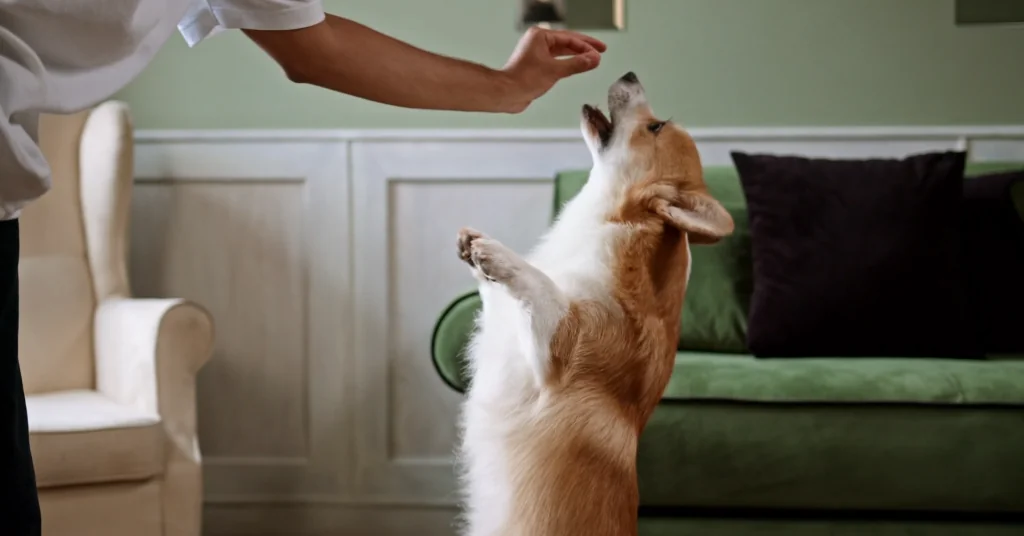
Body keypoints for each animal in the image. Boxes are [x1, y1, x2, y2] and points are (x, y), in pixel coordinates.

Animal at [456, 72, 737, 536]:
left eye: (656, 126)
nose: (630, 74)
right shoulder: (507, 324)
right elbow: (502, 290)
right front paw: (474, 251)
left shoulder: (555, 346)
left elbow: (539, 282)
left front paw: (495, 253)